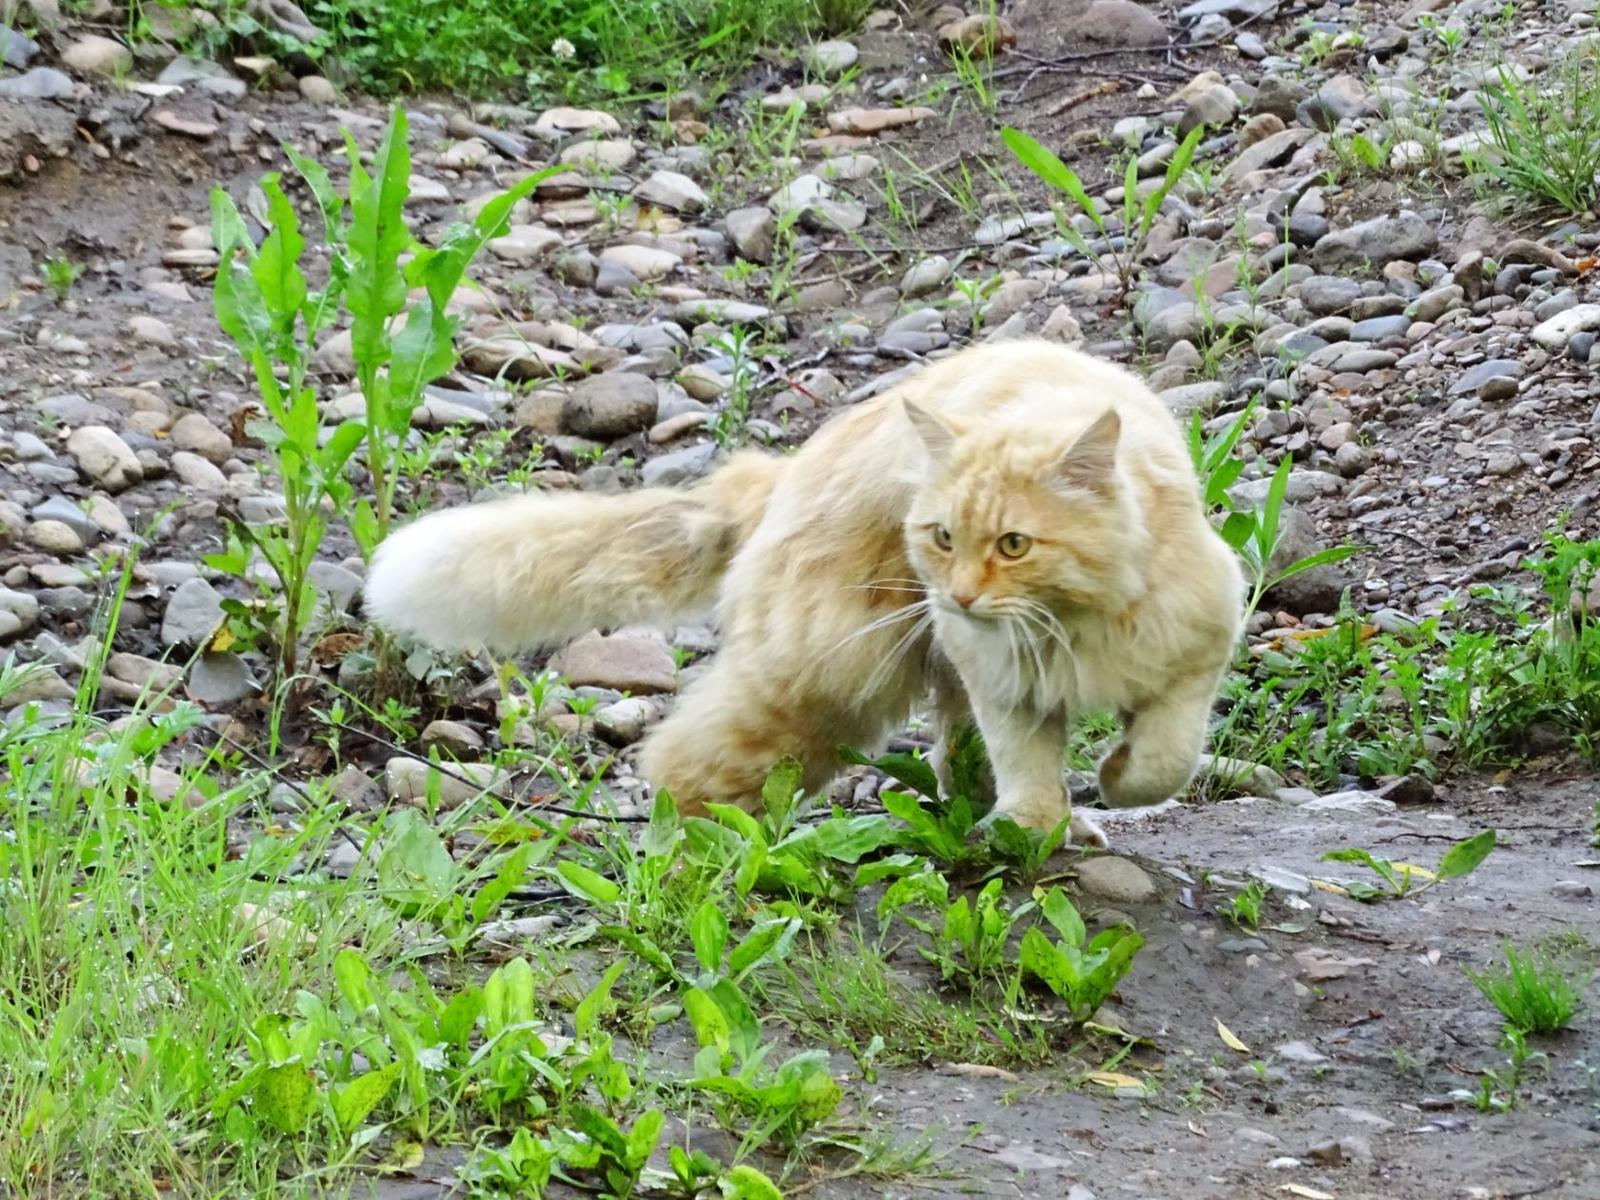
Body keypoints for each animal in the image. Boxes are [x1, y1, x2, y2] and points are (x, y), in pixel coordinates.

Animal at [368, 339, 1241, 844]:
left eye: (1013, 545)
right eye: (942, 537)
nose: (959, 597)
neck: (1069, 623)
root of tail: (784, 468)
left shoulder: (1198, 649)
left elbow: (1167, 755)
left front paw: (1111, 784)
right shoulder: (1002, 681)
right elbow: (1031, 760)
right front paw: (1037, 823)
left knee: (948, 753)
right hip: (828, 678)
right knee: (679, 765)